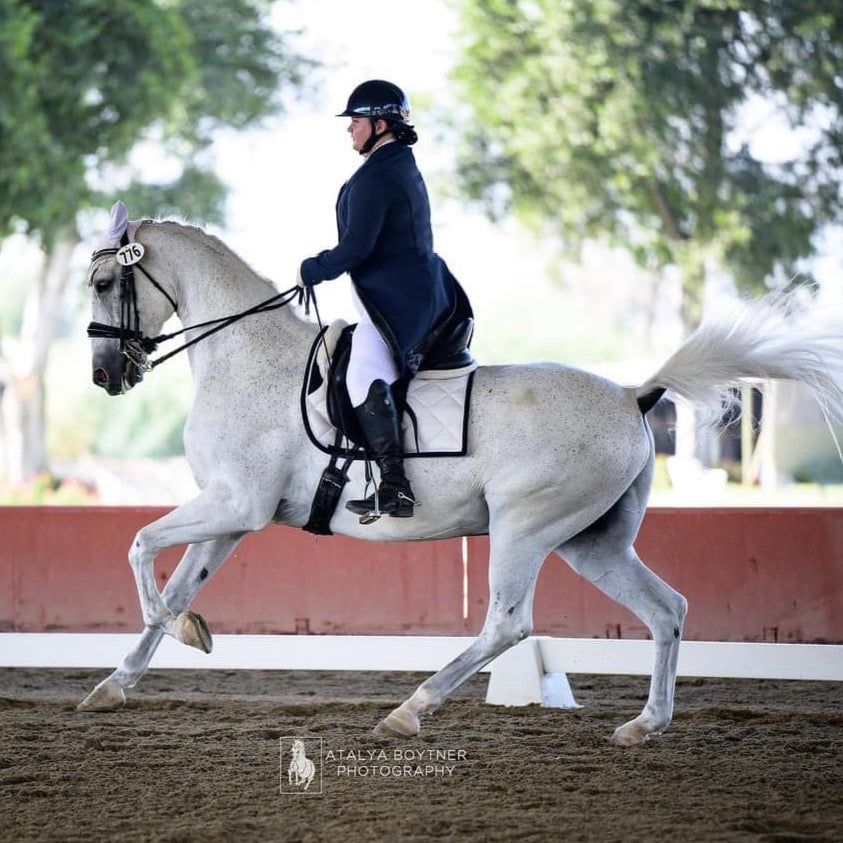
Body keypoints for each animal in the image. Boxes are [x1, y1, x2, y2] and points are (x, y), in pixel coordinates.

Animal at [77, 211, 836, 744]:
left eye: (106, 283)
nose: (104, 377)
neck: (244, 353)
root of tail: (632, 394)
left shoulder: (237, 503)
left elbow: (139, 547)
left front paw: (183, 633)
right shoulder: (228, 512)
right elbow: (176, 580)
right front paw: (119, 680)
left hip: (525, 528)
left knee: (507, 623)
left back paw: (410, 709)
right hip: (592, 541)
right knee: (665, 609)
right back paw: (644, 725)